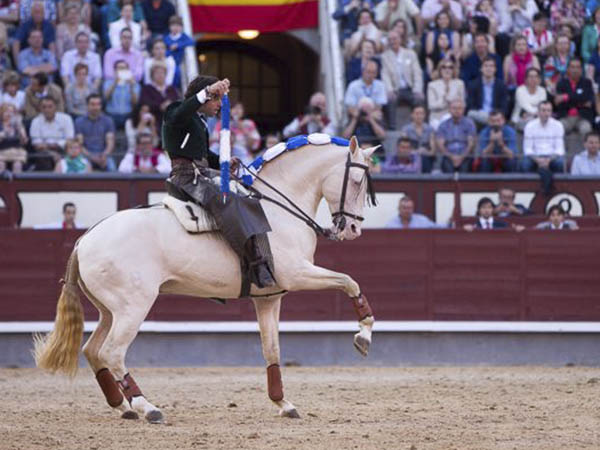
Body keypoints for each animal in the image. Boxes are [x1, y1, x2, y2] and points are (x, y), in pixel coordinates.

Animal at [34, 135, 376, 424]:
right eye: (357, 181)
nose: (352, 229)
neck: (277, 210)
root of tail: (83, 240)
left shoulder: (269, 298)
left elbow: (272, 351)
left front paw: (284, 404)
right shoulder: (297, 273)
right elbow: (350, 281)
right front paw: (363, 336)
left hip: (110, 311)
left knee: (92, 350)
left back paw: (123, 406)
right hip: (133, 308)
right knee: (112, 352)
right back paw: (148, 407)